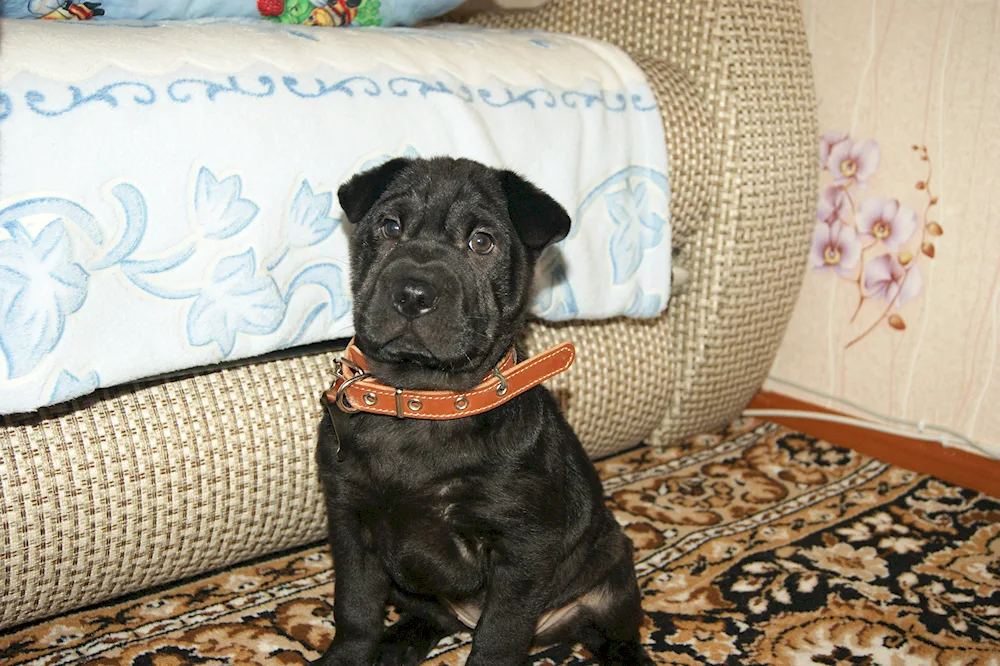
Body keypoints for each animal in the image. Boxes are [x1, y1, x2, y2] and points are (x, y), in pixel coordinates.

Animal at [316, 157, 652, 664]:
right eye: (390, 226)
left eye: (482, 242)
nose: (413, 294)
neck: (422, 400)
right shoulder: (350, 521)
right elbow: (354, 609)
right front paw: (347, 657)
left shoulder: (521, 546)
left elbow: (499, 633)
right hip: (412, 591)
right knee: (431, 616)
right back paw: (399, 644)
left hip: (614, 574)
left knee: (617, 636)